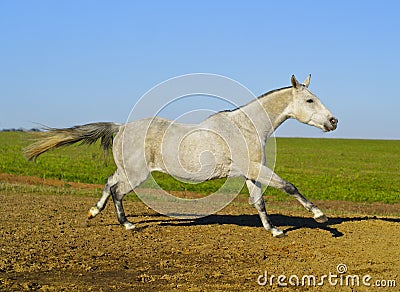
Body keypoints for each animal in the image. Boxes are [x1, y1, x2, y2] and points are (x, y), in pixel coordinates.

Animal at [24, 74, 338, 237]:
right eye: (310, 100)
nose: (333, 121)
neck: (246, 125)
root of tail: (120, 126)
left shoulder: (251, 171)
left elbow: (259, 202)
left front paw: (274, 231)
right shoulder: (256, 168)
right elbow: (288, 186)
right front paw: (321, 217)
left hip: (127, 169)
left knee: (108, 182)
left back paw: (94, 212)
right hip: (137, 174)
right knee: (117, 190)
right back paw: (127, 224)